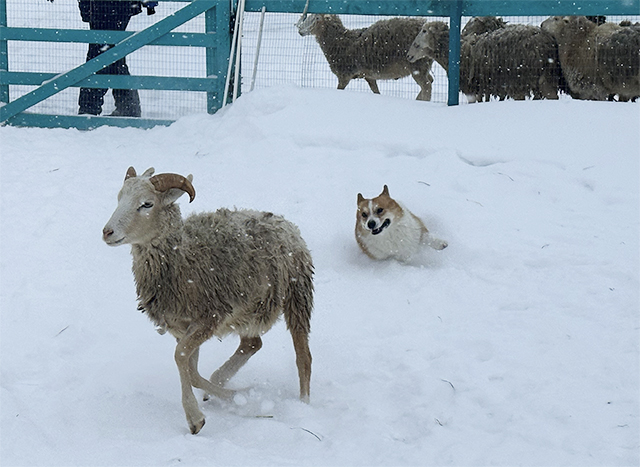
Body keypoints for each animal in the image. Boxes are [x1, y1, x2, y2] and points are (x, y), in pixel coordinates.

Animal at [102, 167, 316, 436]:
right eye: (119, 198)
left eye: (147, 204)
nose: (107, 232)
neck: (181, 257)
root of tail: (284, 221)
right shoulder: (182, 326)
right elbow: (190, 369)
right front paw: (235, 397)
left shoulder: (209, 317)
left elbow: (181, 358)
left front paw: (195, 418)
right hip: (248, 311)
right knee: (252, 343)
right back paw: (220, 381)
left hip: (298, 295)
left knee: (303, 357)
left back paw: (303, 406)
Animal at [298, 14, 432, 101]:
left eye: (316, 18)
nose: (300, 30)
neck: (341, 42)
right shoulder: (369, 76)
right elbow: (376, 92)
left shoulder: (344, 75)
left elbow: (339, 90)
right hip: (424, 65)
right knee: (430, 81)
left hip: (417, 65)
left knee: (427, 86)